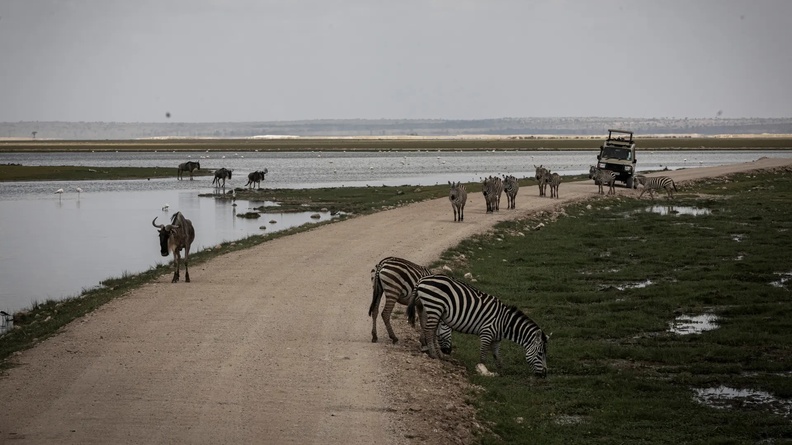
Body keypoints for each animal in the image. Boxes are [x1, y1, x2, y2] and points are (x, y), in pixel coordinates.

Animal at [407, 274, 548, 377]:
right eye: (540, 354)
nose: (544, 374)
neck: (504, 323)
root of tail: (422, 279)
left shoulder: (497, 339)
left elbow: (497, 355)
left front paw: (501, 370)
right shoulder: (487, 333)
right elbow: (483, 354)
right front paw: (482, 369)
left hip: (432, 308)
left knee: (430, 329)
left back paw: (439, 354)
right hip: (434, 306)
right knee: (430, 330)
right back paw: (434, 355)